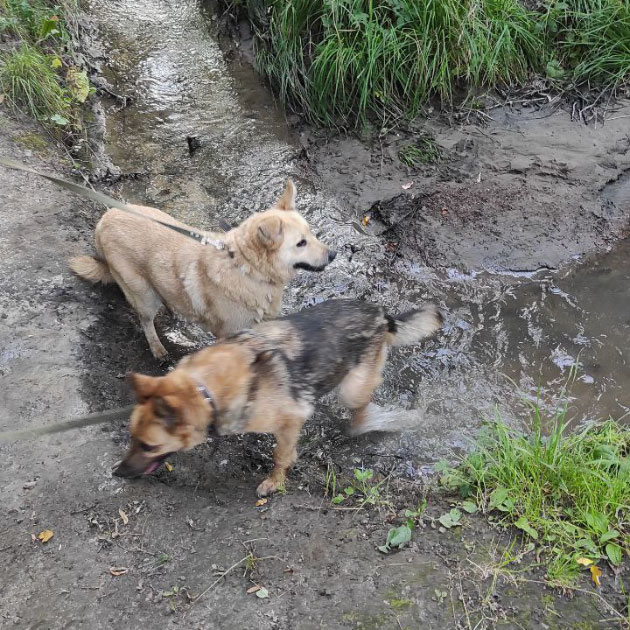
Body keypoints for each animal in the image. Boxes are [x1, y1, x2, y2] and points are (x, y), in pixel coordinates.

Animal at [70, 183, 336, 360]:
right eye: (301, 243)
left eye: (312, 233)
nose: (333, 255)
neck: (247, 269)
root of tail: (105, 218)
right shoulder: (228, 334)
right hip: (143, 294)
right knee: (146, 320)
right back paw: (157, 348)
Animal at [113, 300, 444, 498]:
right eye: (132, 438)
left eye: (149, 446)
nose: (117, 473)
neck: (204, 389)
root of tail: (380, 314)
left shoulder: (291, 419)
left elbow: (280, 456)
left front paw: (275, 482)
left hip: (352, 389)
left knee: (359, 411)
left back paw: (376, 421)